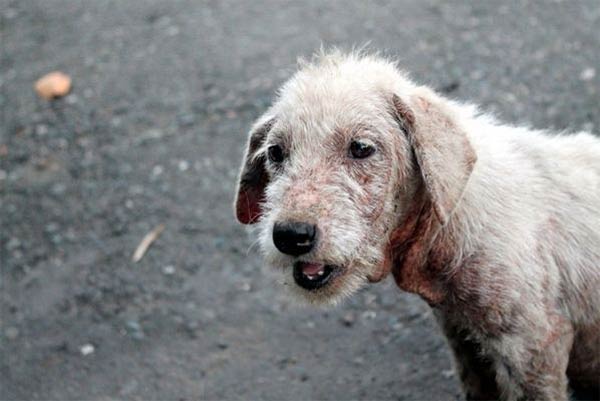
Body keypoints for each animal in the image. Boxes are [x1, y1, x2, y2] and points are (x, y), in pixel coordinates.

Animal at [234, 51, 600, 398]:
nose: (291, 235)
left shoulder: (534, 343)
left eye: (361, 147)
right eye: (275, 152)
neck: (451, 210)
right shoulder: (464, 339)